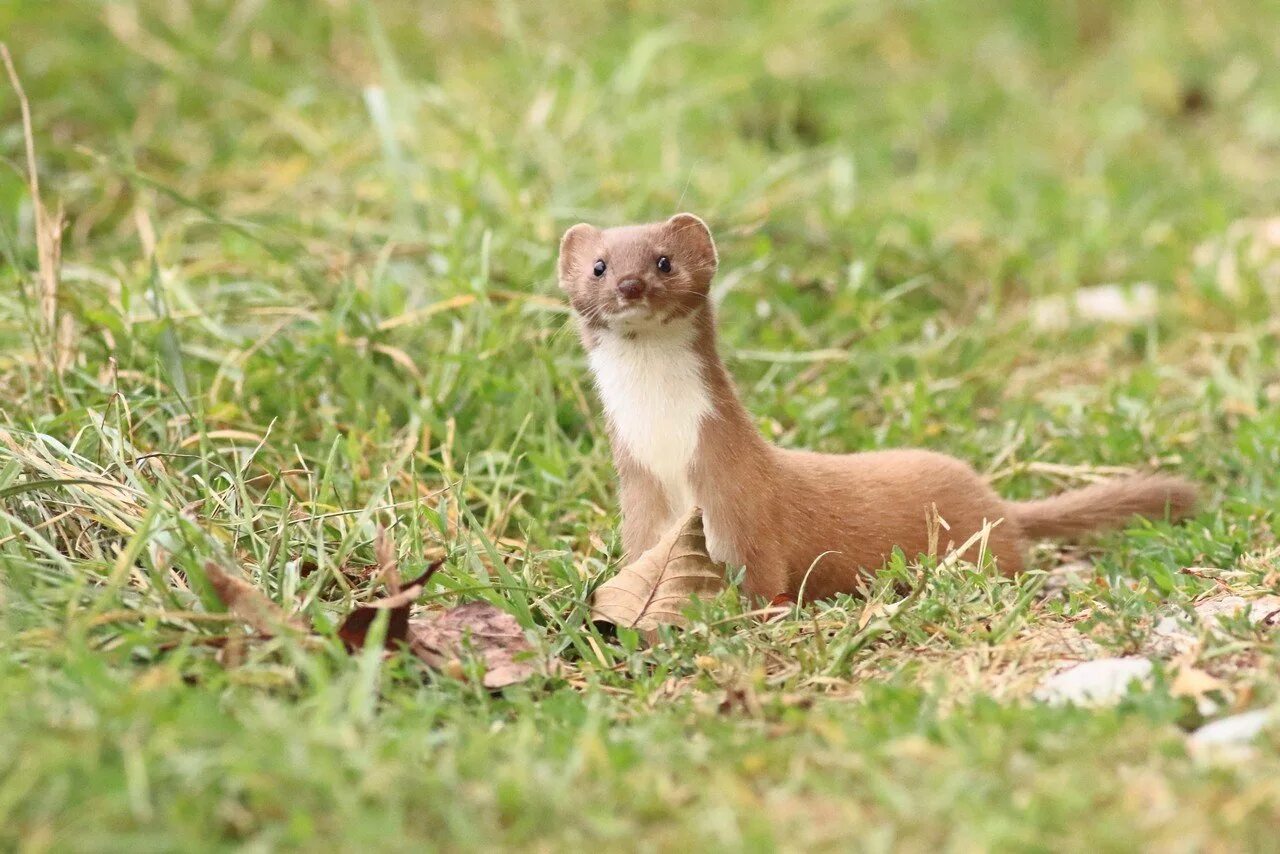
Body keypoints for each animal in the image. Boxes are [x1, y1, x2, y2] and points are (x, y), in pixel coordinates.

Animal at [560, 212, 1198, 601]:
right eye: (599, 265)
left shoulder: (742, 503)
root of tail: (1000, 506)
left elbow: (765, 576)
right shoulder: (642, 503)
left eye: (664, 260)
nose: (630, 285)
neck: (669, 450)